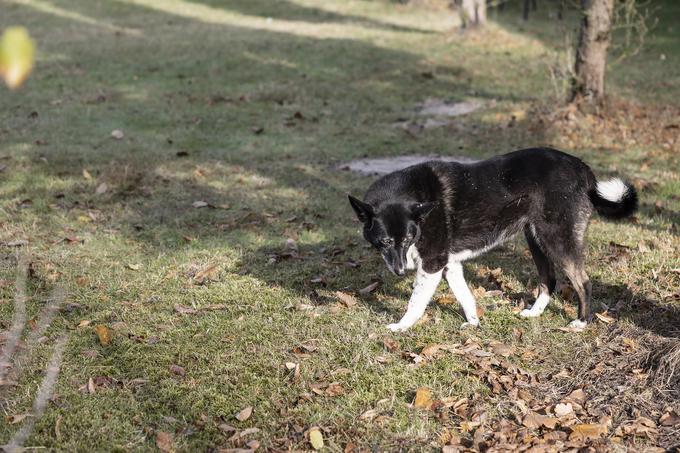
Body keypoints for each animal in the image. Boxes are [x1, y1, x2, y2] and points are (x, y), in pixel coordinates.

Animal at [350, 147, 636, 330]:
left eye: (409, 237)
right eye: (386, 241)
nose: (401, 271)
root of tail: (583, 169)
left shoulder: (432, 264)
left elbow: (415, 302)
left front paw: (401, 327)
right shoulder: (449, 264)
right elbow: (465, 296)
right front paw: (473, 323)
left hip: (556, 239)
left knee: (583, 282)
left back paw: (582, 322)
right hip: (536, 239)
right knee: (549, 279)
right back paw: (535, 313)